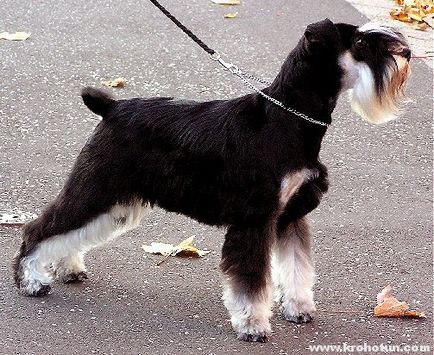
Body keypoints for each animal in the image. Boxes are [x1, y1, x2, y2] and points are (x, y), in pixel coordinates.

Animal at [12, 18, 410, 342]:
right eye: (359, 42)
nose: (406, 52)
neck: (289, 119)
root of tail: (112, 108)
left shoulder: (291, 216)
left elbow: (297, 266)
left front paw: (297, 308)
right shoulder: (255, 220)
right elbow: (252, 281)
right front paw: (253, 325)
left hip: (114, 201)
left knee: (72, 231)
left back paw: (68, 268)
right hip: (97, 188)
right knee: (41, 228)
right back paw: (31, 281)